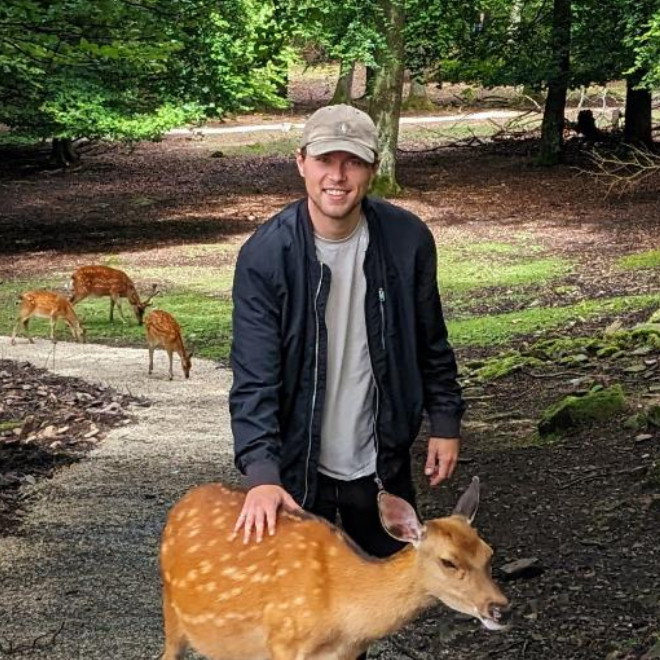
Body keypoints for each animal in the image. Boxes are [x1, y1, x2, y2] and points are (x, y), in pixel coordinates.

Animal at [159, 477, 509, 660]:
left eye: (489, 553)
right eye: (448, 561)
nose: (500, 608)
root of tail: (183, 501)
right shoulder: (284, 642)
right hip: (171, 611)